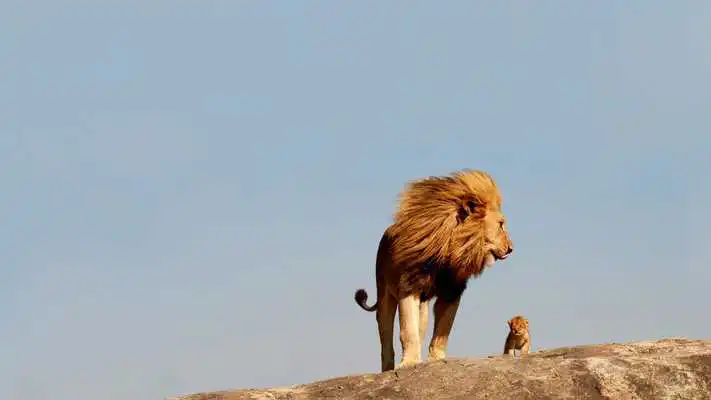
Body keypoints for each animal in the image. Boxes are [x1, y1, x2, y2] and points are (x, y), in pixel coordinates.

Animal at [354, 169, 514, 372]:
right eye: (501, 224)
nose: (511, 248)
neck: (449, 251)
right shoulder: (408, 287)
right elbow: (407, 330)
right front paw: (410, 362)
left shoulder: (452, 292)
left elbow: (443, 329)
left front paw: (436, 359)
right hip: (384, 295)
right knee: (386, 336)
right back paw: (388, 368)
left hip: (423, 308)